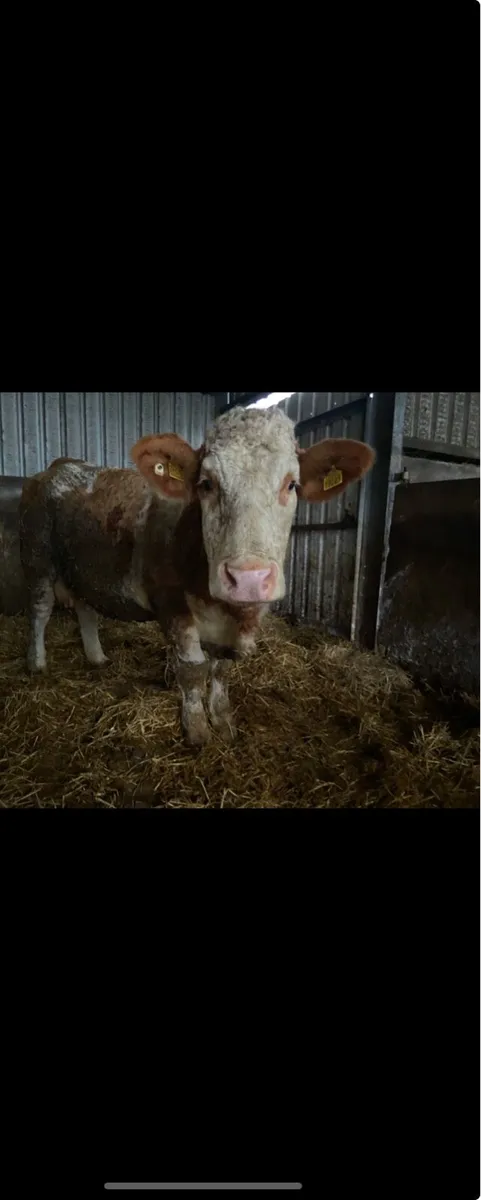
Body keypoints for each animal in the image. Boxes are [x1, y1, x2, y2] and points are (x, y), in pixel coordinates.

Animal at [18, 406, 375, 745]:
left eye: (292, 484)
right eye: (207, 483)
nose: (248, 578)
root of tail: (60, 467)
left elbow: (222, 669)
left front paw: (223, 721)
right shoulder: (169, 600)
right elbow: (193, 668)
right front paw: (197, 731)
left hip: (82, 565)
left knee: (85, 607)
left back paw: (96, 657)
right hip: (37, 555)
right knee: (39, 610)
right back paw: (37, 663)